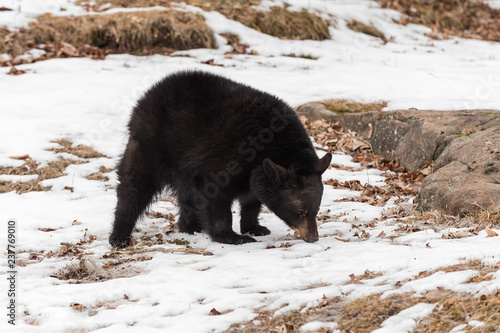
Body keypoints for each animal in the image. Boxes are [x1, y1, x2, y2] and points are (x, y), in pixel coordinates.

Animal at [111, 70, 334, 246]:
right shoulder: (225, 160)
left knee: (186, 196)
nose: (313, 237)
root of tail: (147, 96)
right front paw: (233, 237)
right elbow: (215, 196)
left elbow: (252, 198)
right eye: (300, 212)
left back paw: (190, 227)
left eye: (316, 209)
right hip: (151, 145)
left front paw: (254, 227)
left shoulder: (255, 172)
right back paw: (120, 236)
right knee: (134, 187)